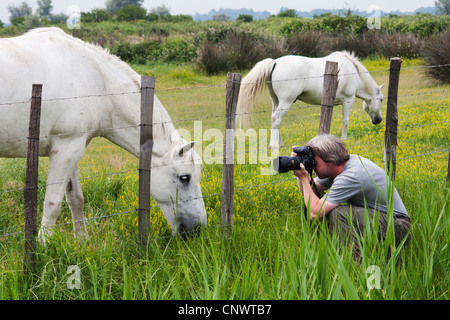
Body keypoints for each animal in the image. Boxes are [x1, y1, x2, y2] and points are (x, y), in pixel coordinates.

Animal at [0, 28, 207, 242]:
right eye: (185, 178)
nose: (197, 229)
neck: (99, 81)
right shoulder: (66, 150)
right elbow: (52, 203)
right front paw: (43, 246)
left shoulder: (72, 149)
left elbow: (76, 199)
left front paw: (82, 242)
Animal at [236, 51, 384, 149]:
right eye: (382, 99)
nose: (379, 120)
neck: (352, 71)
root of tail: (275, 62)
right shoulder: (348, 100)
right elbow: (345, 120)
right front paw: (344, 139)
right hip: (285, 102)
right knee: (276, 119)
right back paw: (274, 146)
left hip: (276, 101)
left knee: (275, 120)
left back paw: (280, 144)